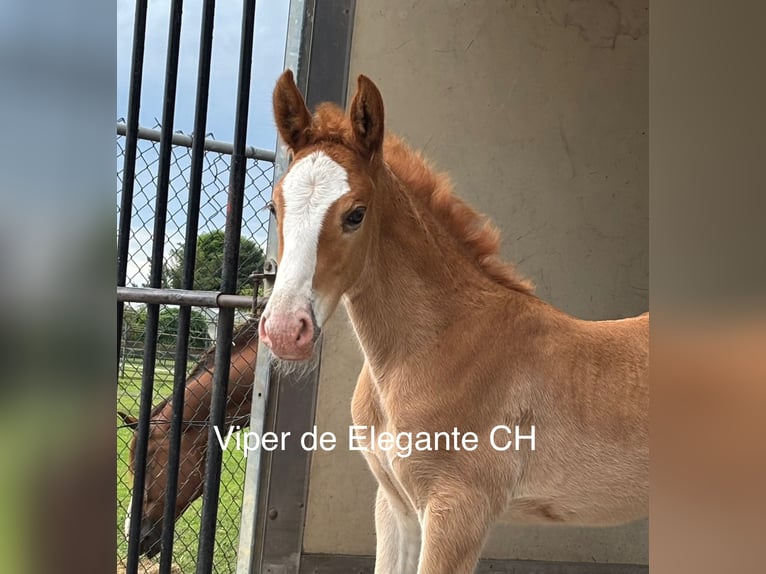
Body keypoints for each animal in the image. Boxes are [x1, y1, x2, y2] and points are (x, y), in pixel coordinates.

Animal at [259, 70, 649, 574]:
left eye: (356, 214)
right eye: (274, 206)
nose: (285, 331)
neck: (437, 344)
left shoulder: (458, 509)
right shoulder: (395, 506)